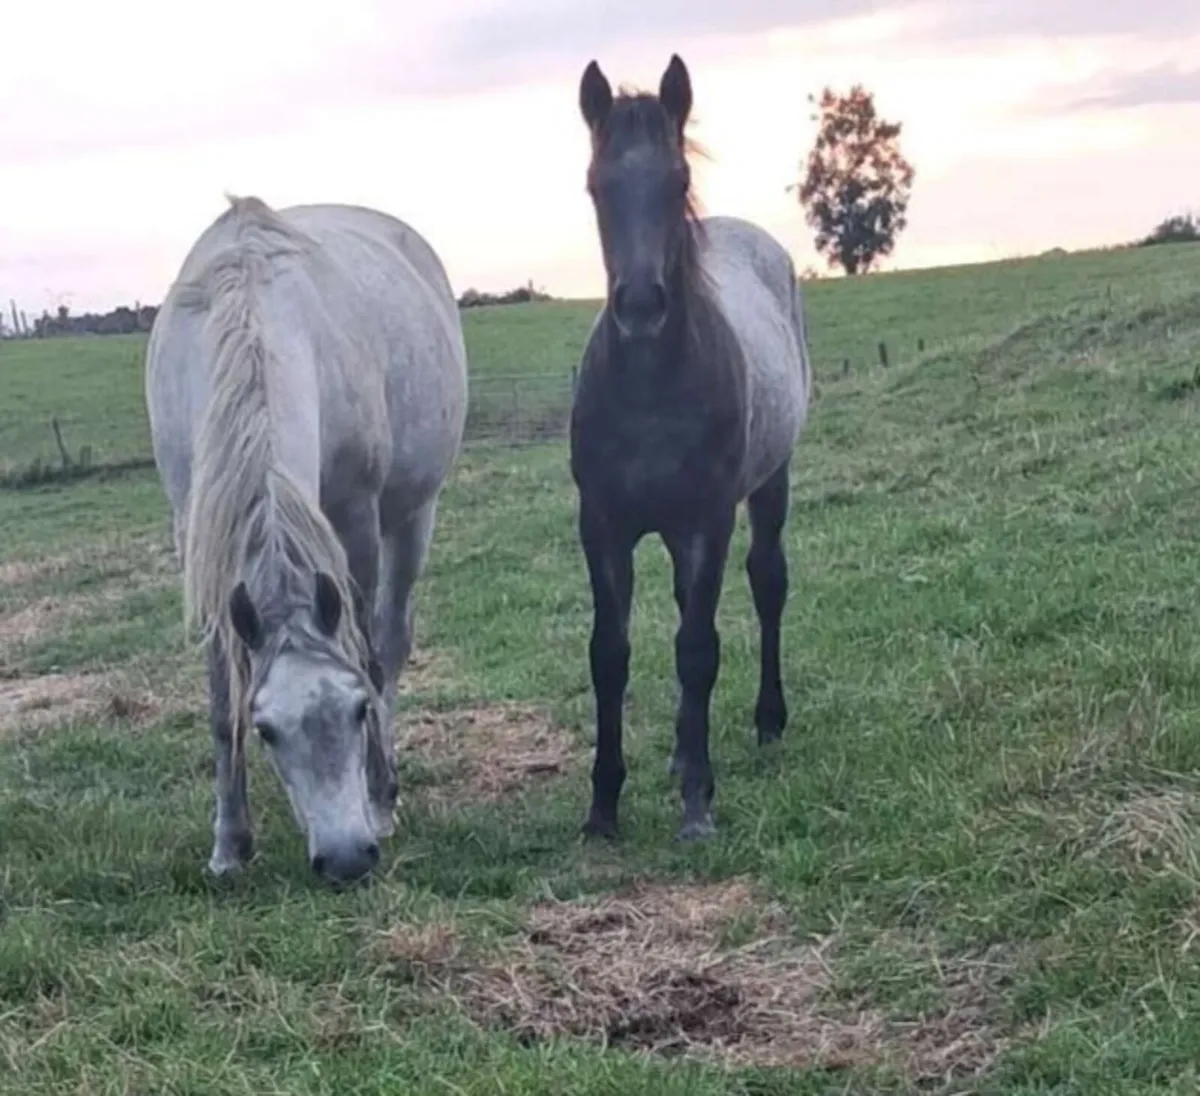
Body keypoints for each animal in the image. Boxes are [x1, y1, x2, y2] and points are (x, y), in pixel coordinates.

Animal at [145, 195, 467, 884]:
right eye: (266, 729)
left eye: (356, 710)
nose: (346, 858)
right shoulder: (199, 542)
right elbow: (220, 701)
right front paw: (229, 845)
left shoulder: (355, 522)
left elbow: (367, 657)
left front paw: (378, 798)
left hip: (413, 516)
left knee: (392, 639)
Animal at [570, 56, 812, 842]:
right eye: (596, 185)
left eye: (677, 183)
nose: (641, 306)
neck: (651, 392)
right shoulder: (603, 527)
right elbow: (609, 655)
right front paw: (603, 807)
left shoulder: (707, 522)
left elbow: (697, 650)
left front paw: (698, 805)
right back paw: (680, 753)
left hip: (770, 485)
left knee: (767, 583)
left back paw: (766, 721)